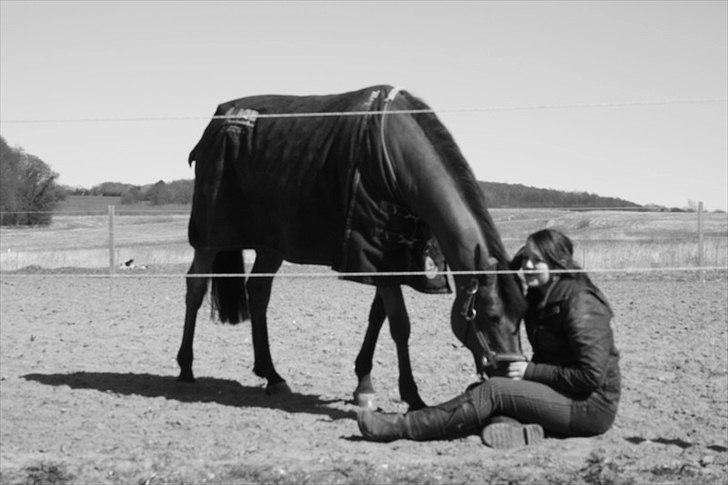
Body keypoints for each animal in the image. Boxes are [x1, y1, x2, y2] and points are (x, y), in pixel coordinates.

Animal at [177, 85, 528, 410]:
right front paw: (411, 396)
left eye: (522, 316)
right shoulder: (375, 253)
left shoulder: (390, 257)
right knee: (196, 287)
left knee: (259, 292)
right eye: (491, 316)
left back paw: (272, 375)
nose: (510, 373)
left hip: (272, 244)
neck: (395, 156)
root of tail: (221, 118)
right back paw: (185, 368)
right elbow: (400, 325)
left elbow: (377, 318)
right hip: (211, 236)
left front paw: (364, 385)